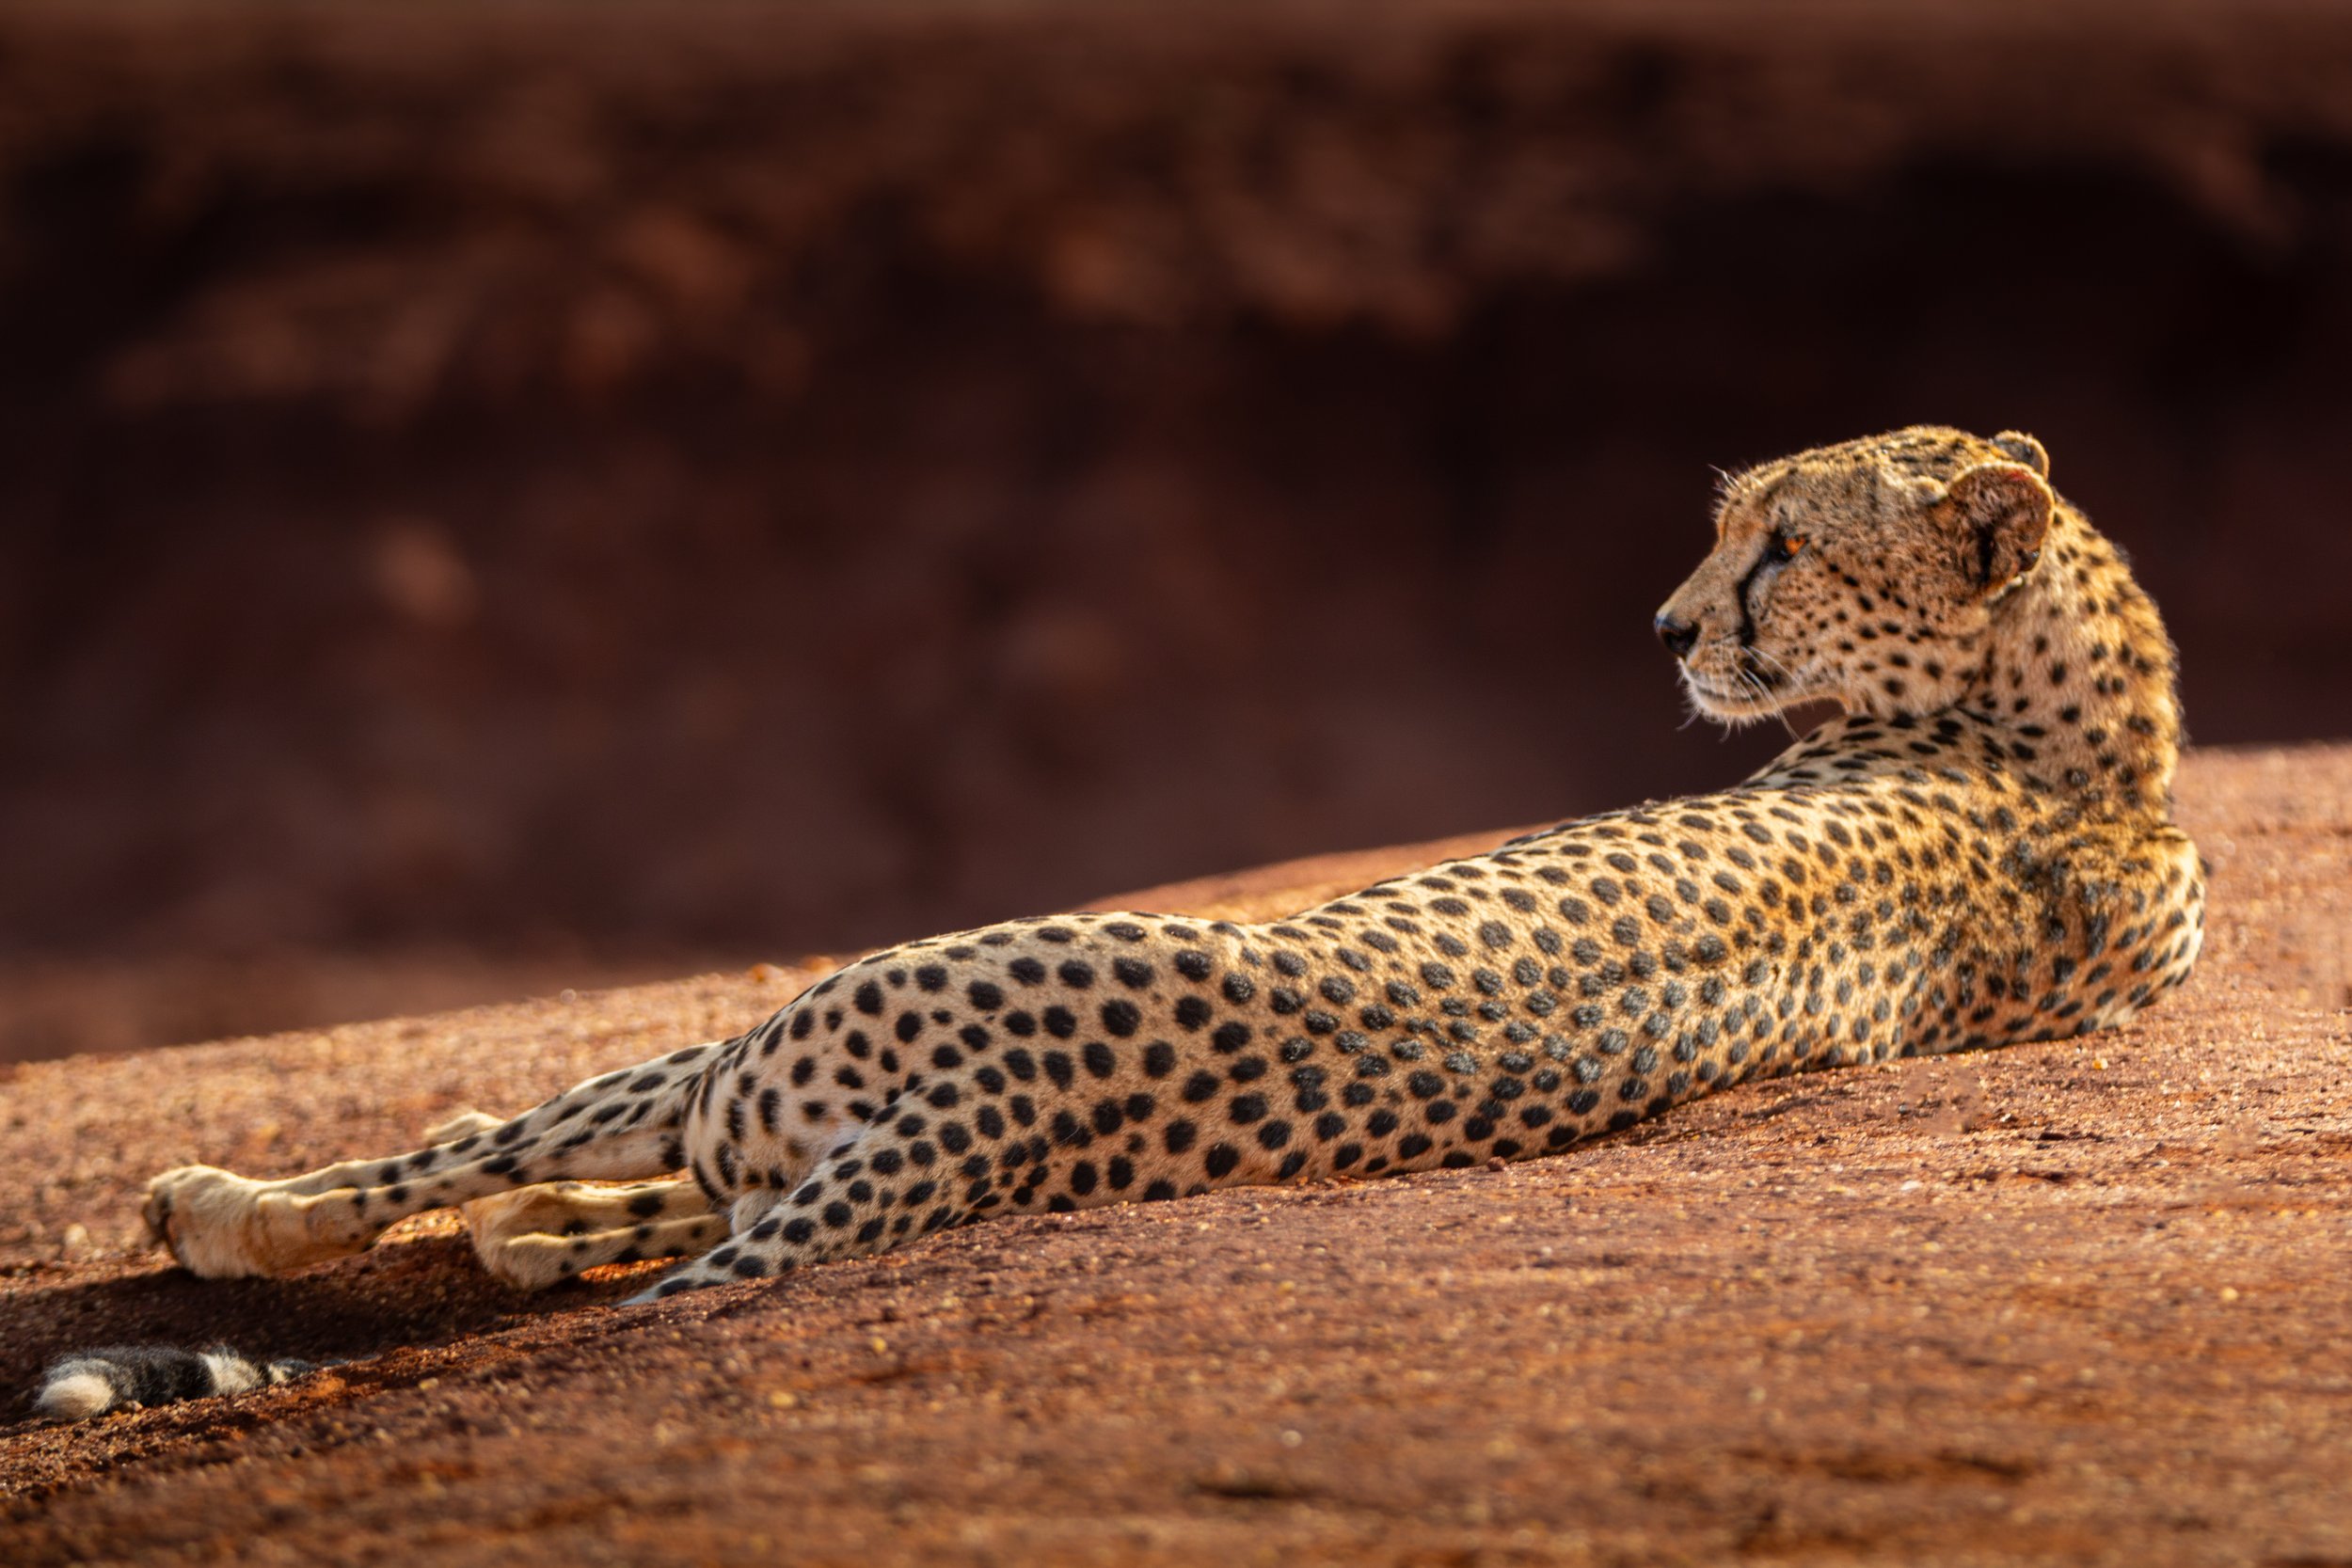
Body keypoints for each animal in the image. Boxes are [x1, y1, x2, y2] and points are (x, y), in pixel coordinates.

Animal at [41, 423, 2206, 1419]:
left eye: (1781, 545)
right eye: (1726, 520)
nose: (1671, 628)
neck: (2094, 735)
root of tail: (997, 1091)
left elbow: (479, 1163)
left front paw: (272, 1209)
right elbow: (622, 1210)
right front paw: (541, 1237)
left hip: (795, 1029)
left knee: (472, 1151)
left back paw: (237, 1201)